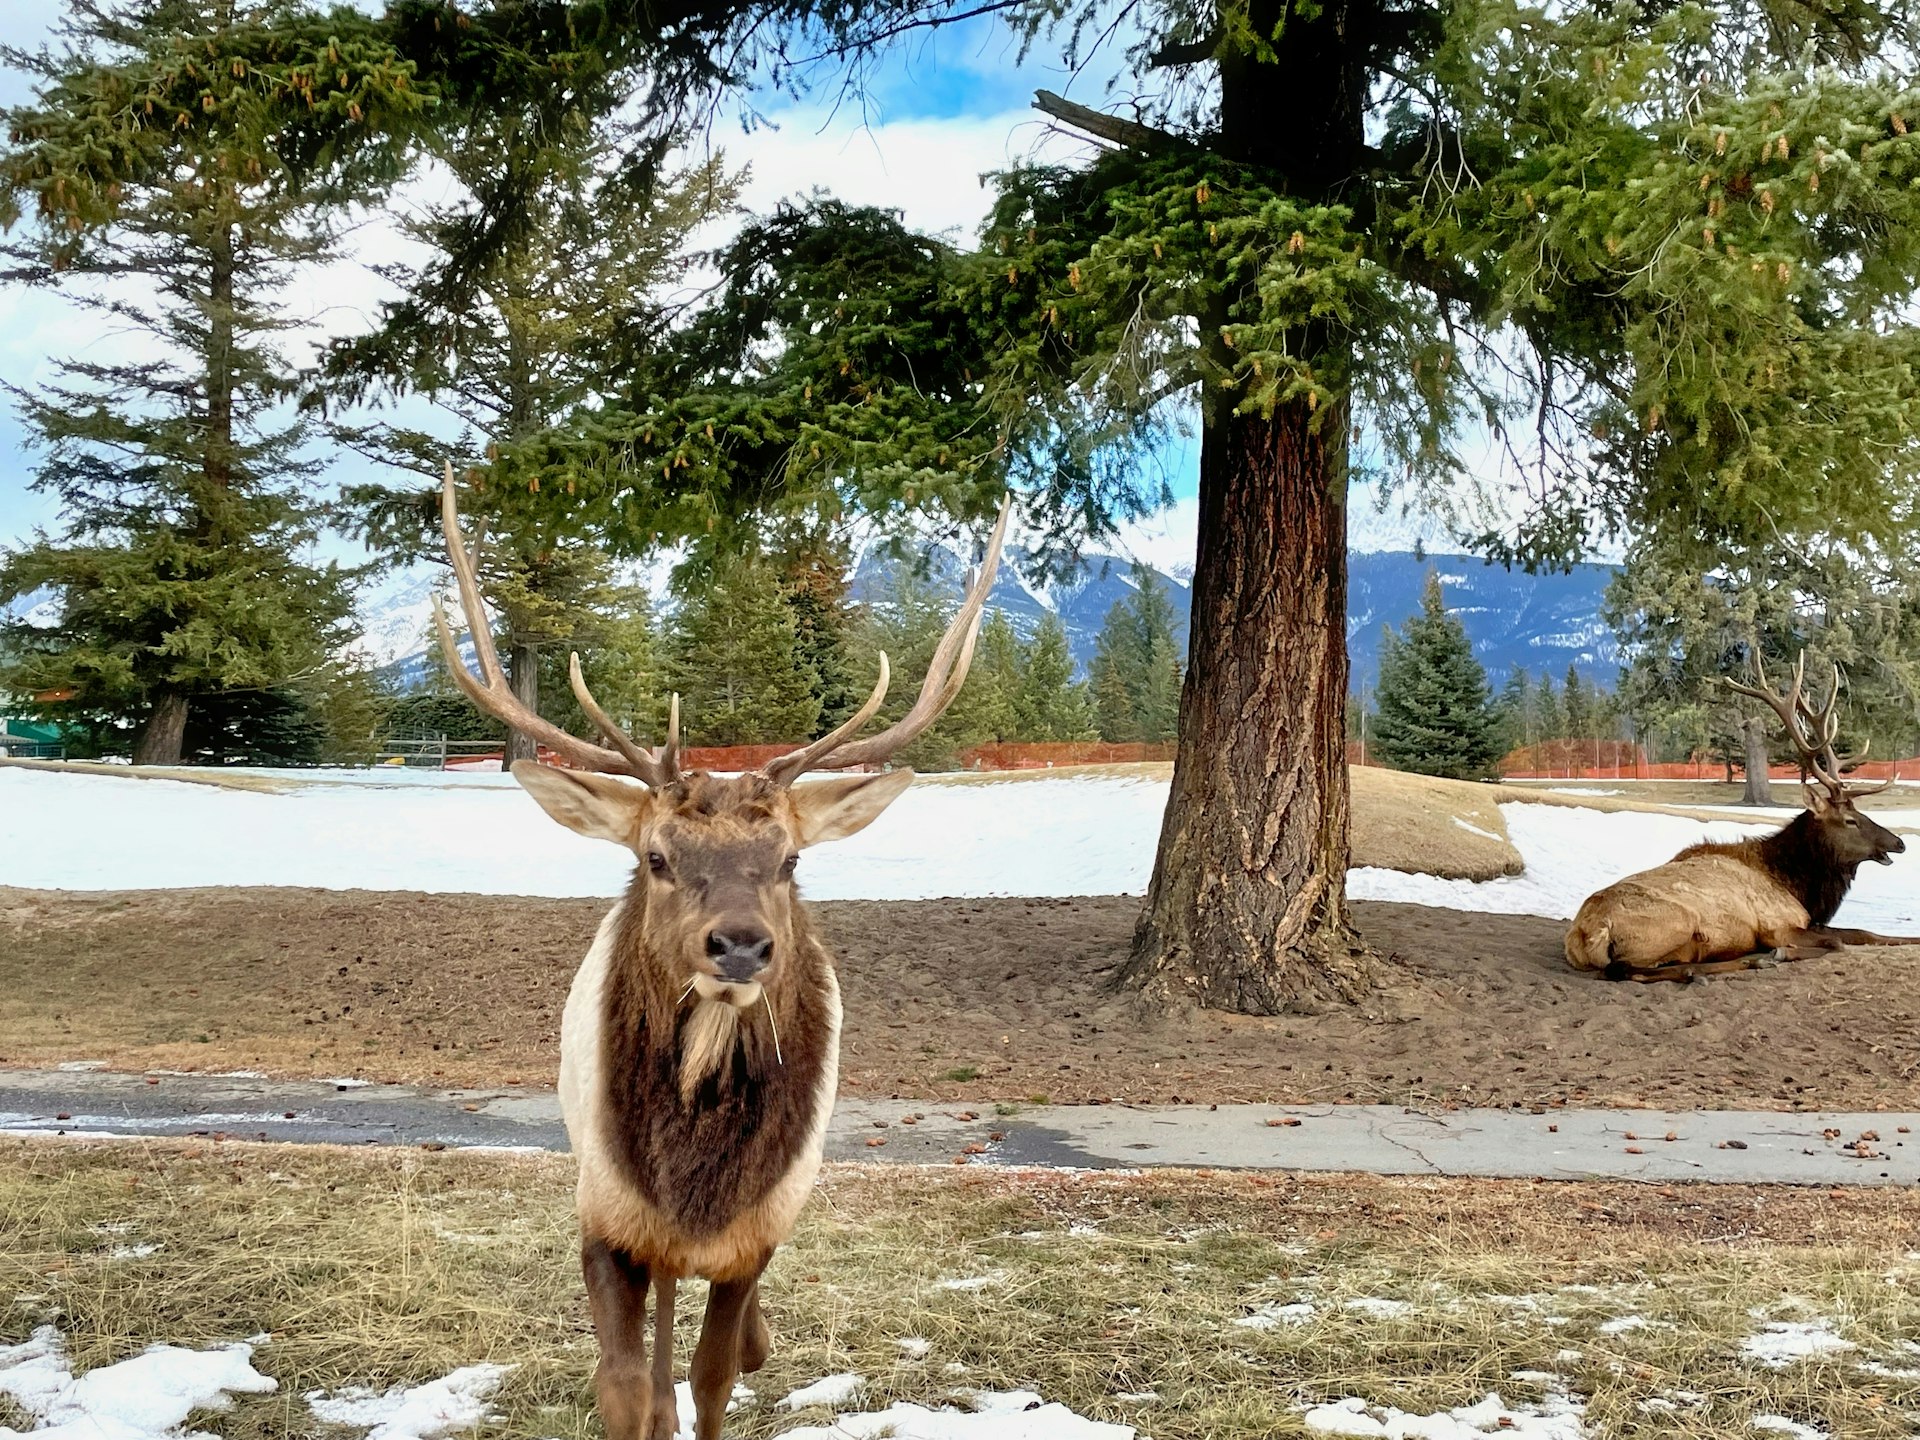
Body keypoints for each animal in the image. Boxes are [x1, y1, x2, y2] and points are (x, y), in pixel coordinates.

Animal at [430, 470, 1013, 1440]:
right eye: (656, 857)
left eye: (790, 860)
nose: (740, 944)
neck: (695, 1184)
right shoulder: (606, 1212)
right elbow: (628, 1387)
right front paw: (641, 1400)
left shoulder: (759, 1233)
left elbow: (712, 1379)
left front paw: (739, 1357)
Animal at [1566, 656, 1912, 990]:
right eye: (1850, 820)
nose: (1899, 843)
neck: (1798, 886)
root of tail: (1587, 934)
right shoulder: (1778, 925)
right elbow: (1838, 943)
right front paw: (1781, 953)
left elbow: (1865, 933)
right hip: (1676, 924)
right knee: (1628, 970)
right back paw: (1738, 964)